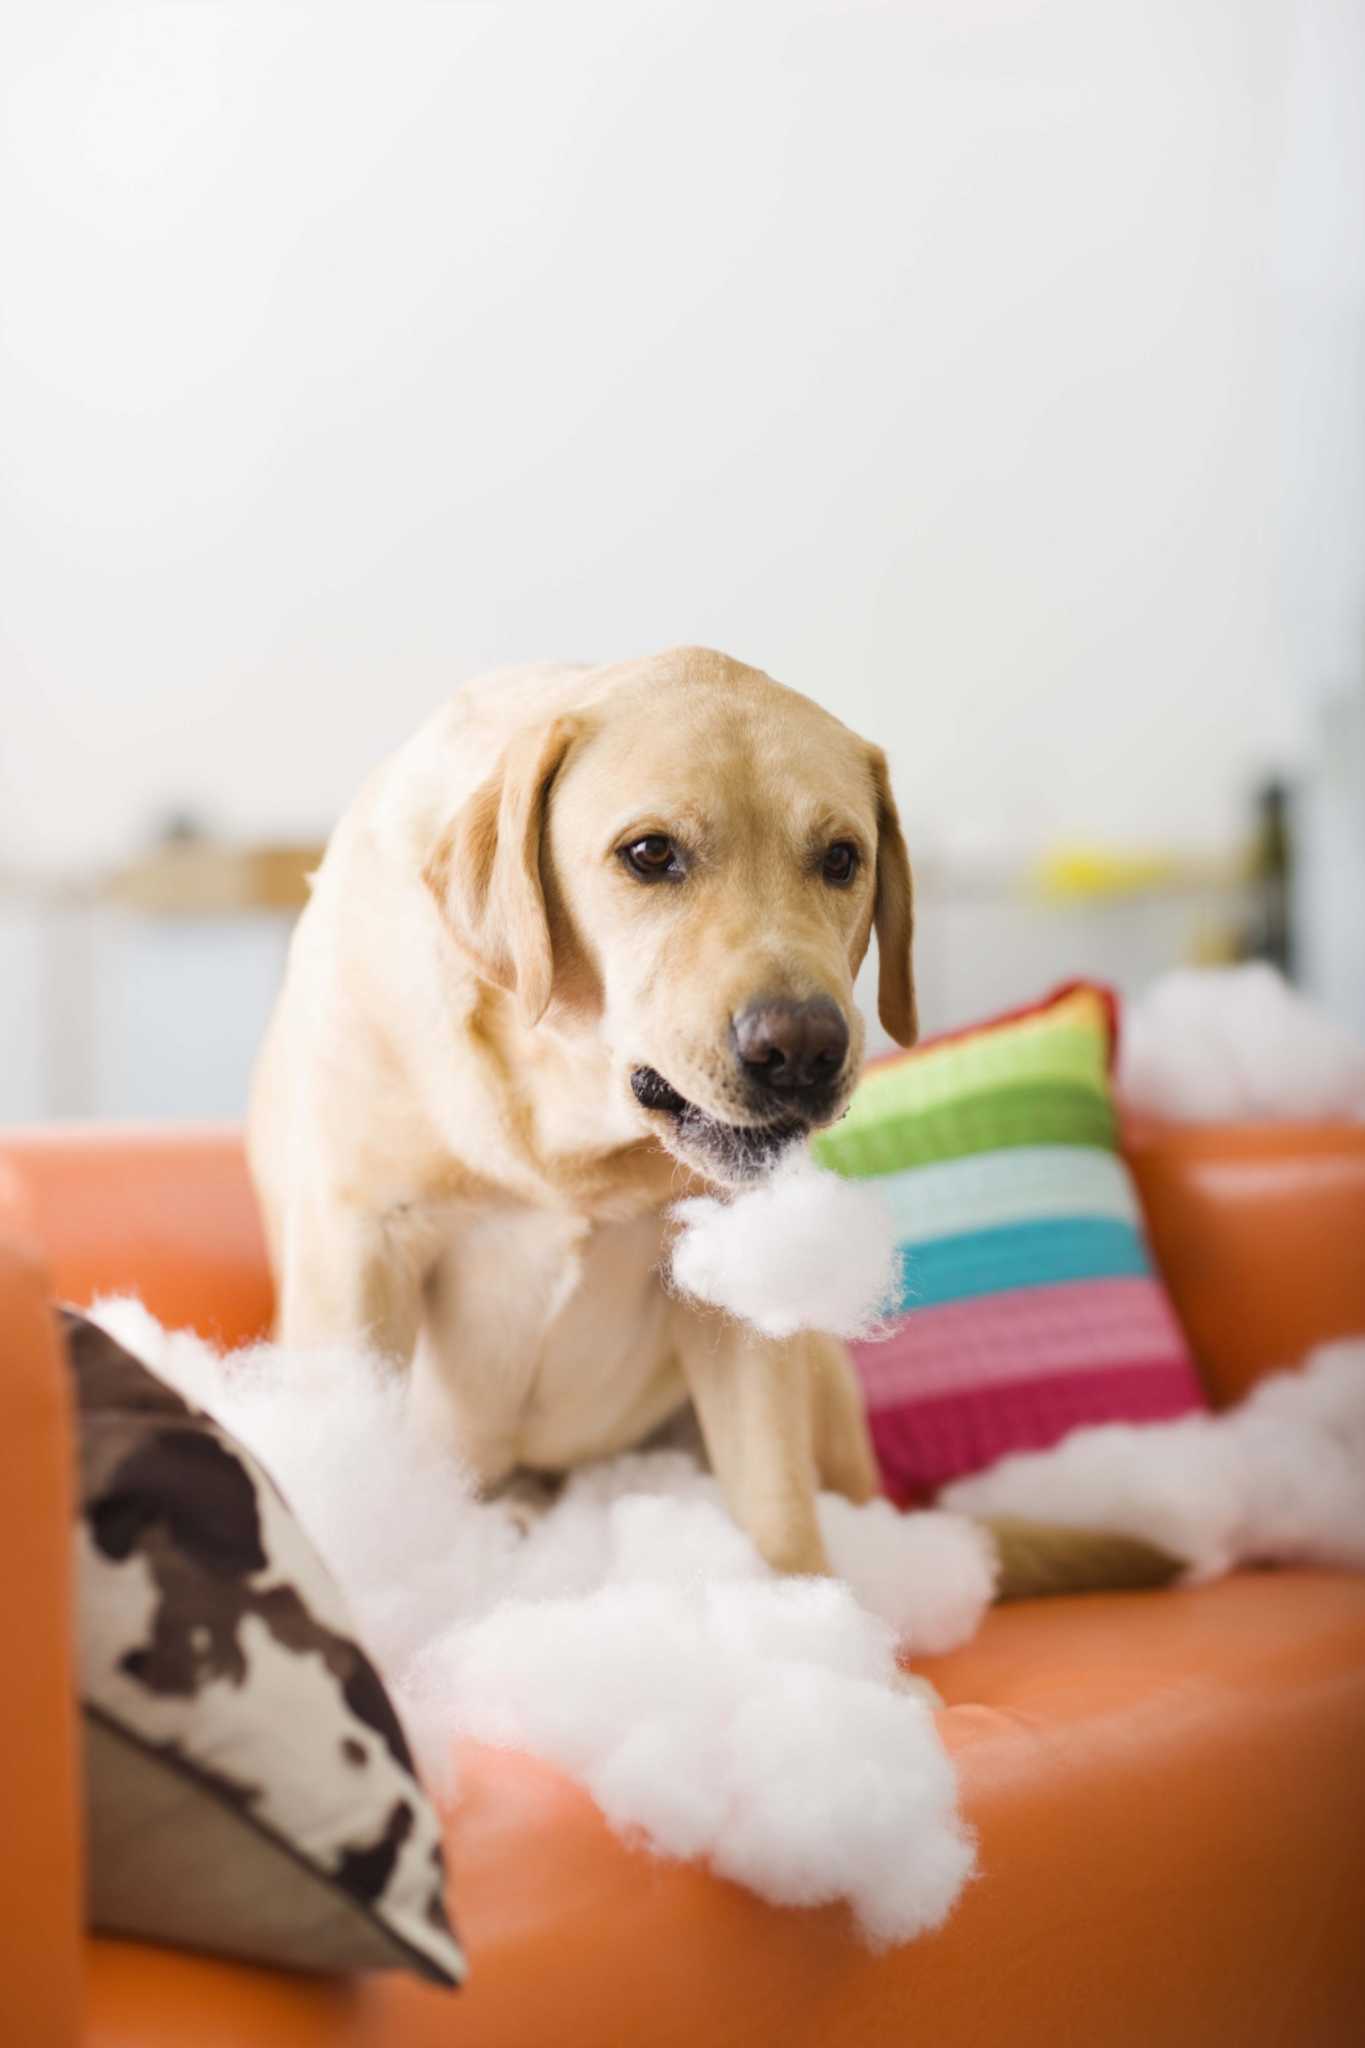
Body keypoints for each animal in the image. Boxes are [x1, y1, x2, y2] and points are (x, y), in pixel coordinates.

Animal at [250, 647, 925, 1572]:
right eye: (648, 853)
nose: (801, 1050)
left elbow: (775, 1500)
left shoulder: (731, 1288)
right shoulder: (358, 1252)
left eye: (839, 858)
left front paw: (800, 1604)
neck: (565, 1122)